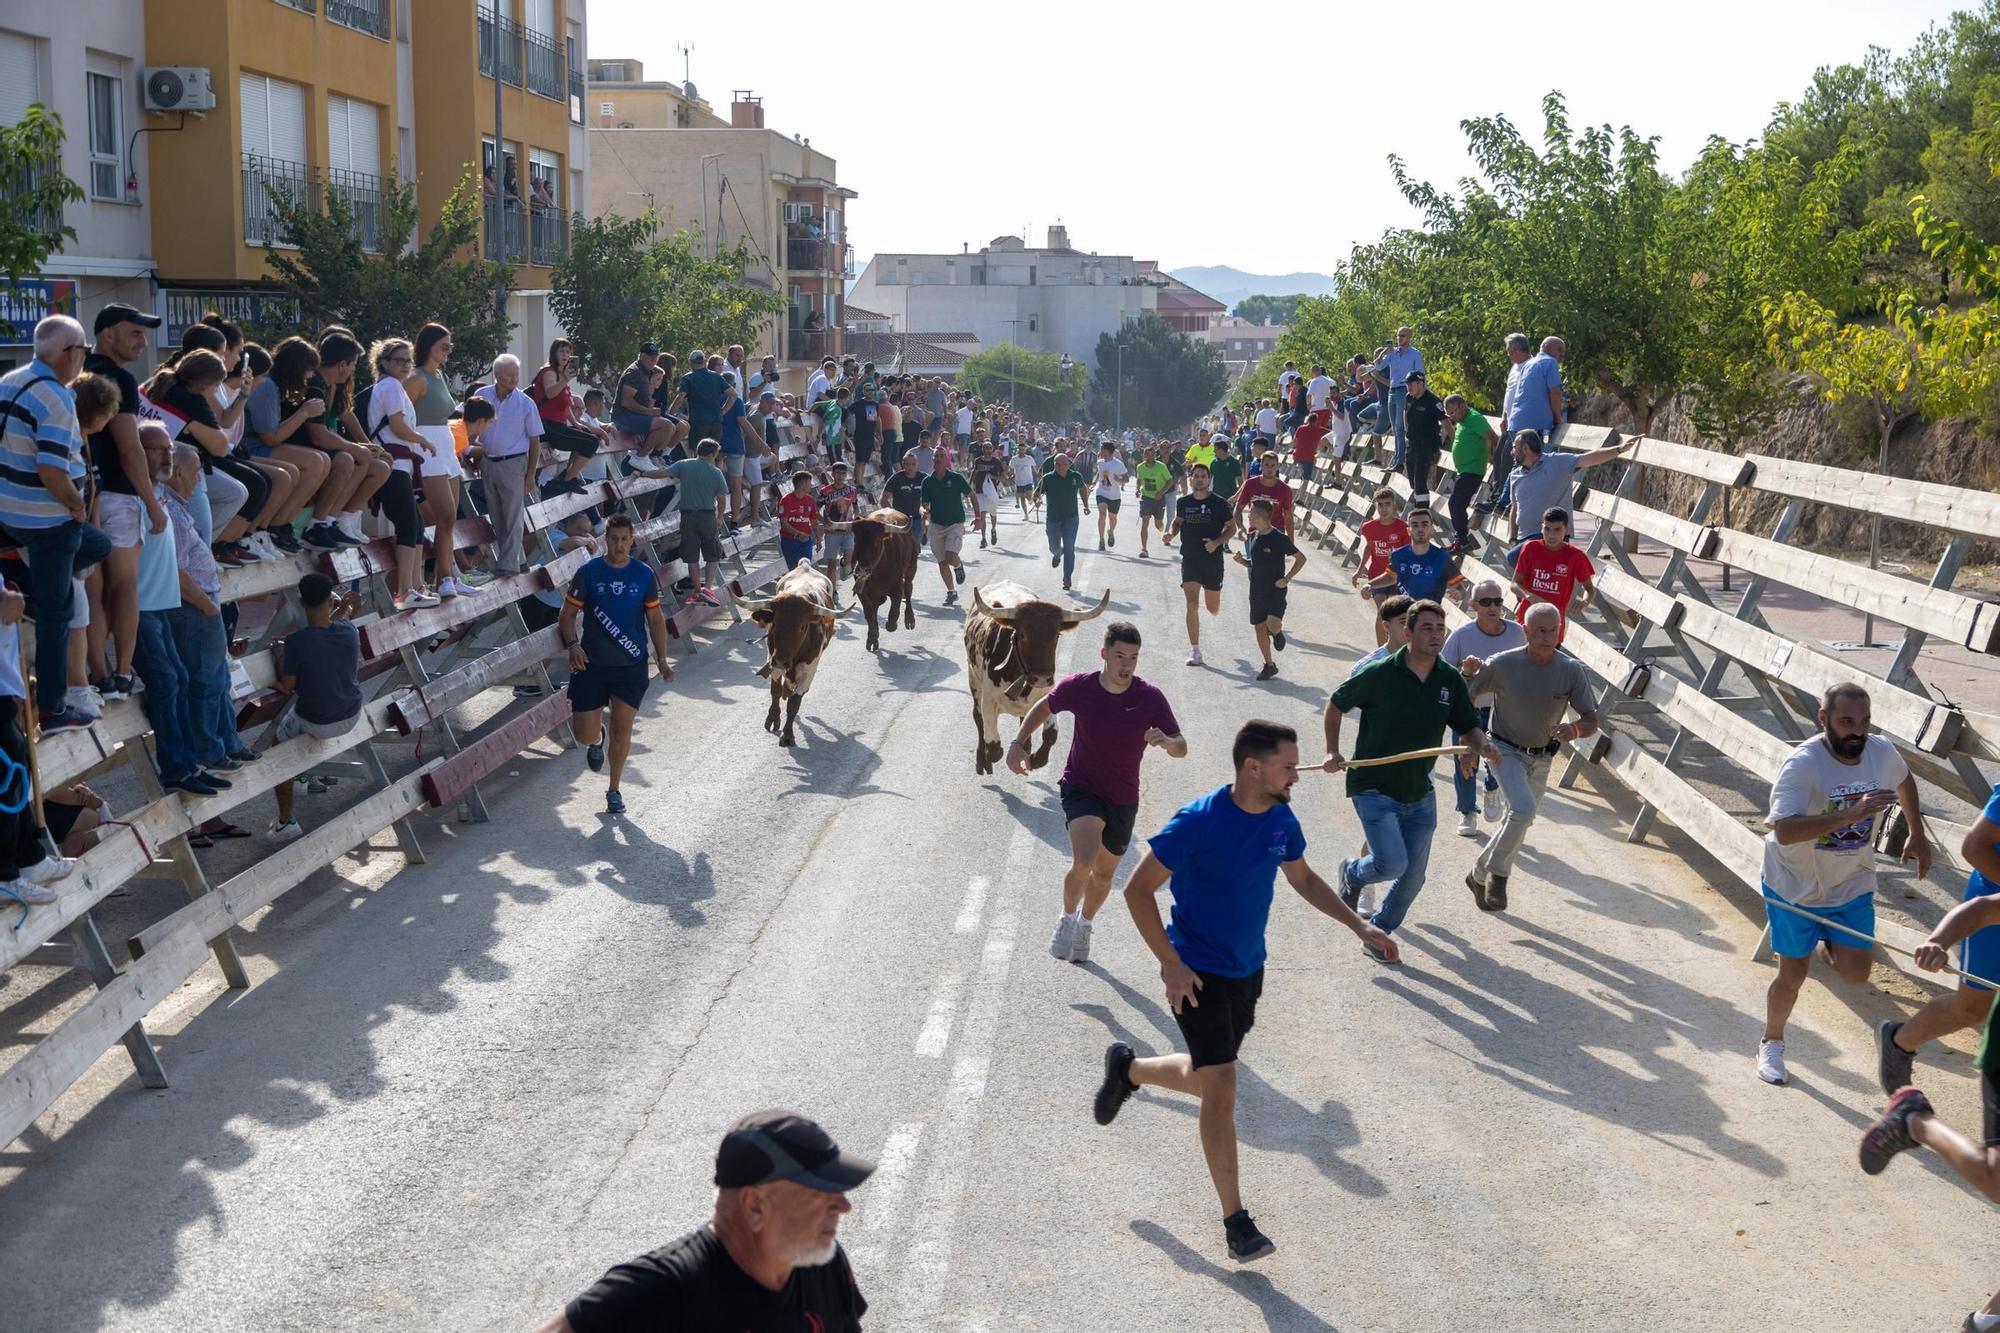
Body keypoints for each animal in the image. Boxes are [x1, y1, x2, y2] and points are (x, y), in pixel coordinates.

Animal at [752, 556, 844, 748]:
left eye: (802, 627)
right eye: (775, 623)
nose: (781, 661)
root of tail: (805, 565)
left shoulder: (808, 670)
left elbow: (795, 703)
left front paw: (787, 735)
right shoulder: (773, 659)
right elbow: (775, 691)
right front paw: (773, 718)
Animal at [828, 506, 920, 652]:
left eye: (876, 542)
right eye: (856, 541)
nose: (862, 570)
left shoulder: (897, 587)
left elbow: (894, 613)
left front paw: (891, 625)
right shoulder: (862, 593)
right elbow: (869, 614)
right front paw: (872, 638)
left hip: (912, 567)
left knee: (908, 589)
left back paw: (909, 619)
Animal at [964, 576, 1112, 772]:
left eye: (1056, 635)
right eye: (1022, 634)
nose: (1041, 678)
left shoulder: (1047, 695)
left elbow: (1050, 734)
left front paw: (1034, 757)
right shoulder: (988, 700)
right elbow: (994, 748)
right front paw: (993, 755)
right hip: (973, 679)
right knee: (977, 716)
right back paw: (982, 760)